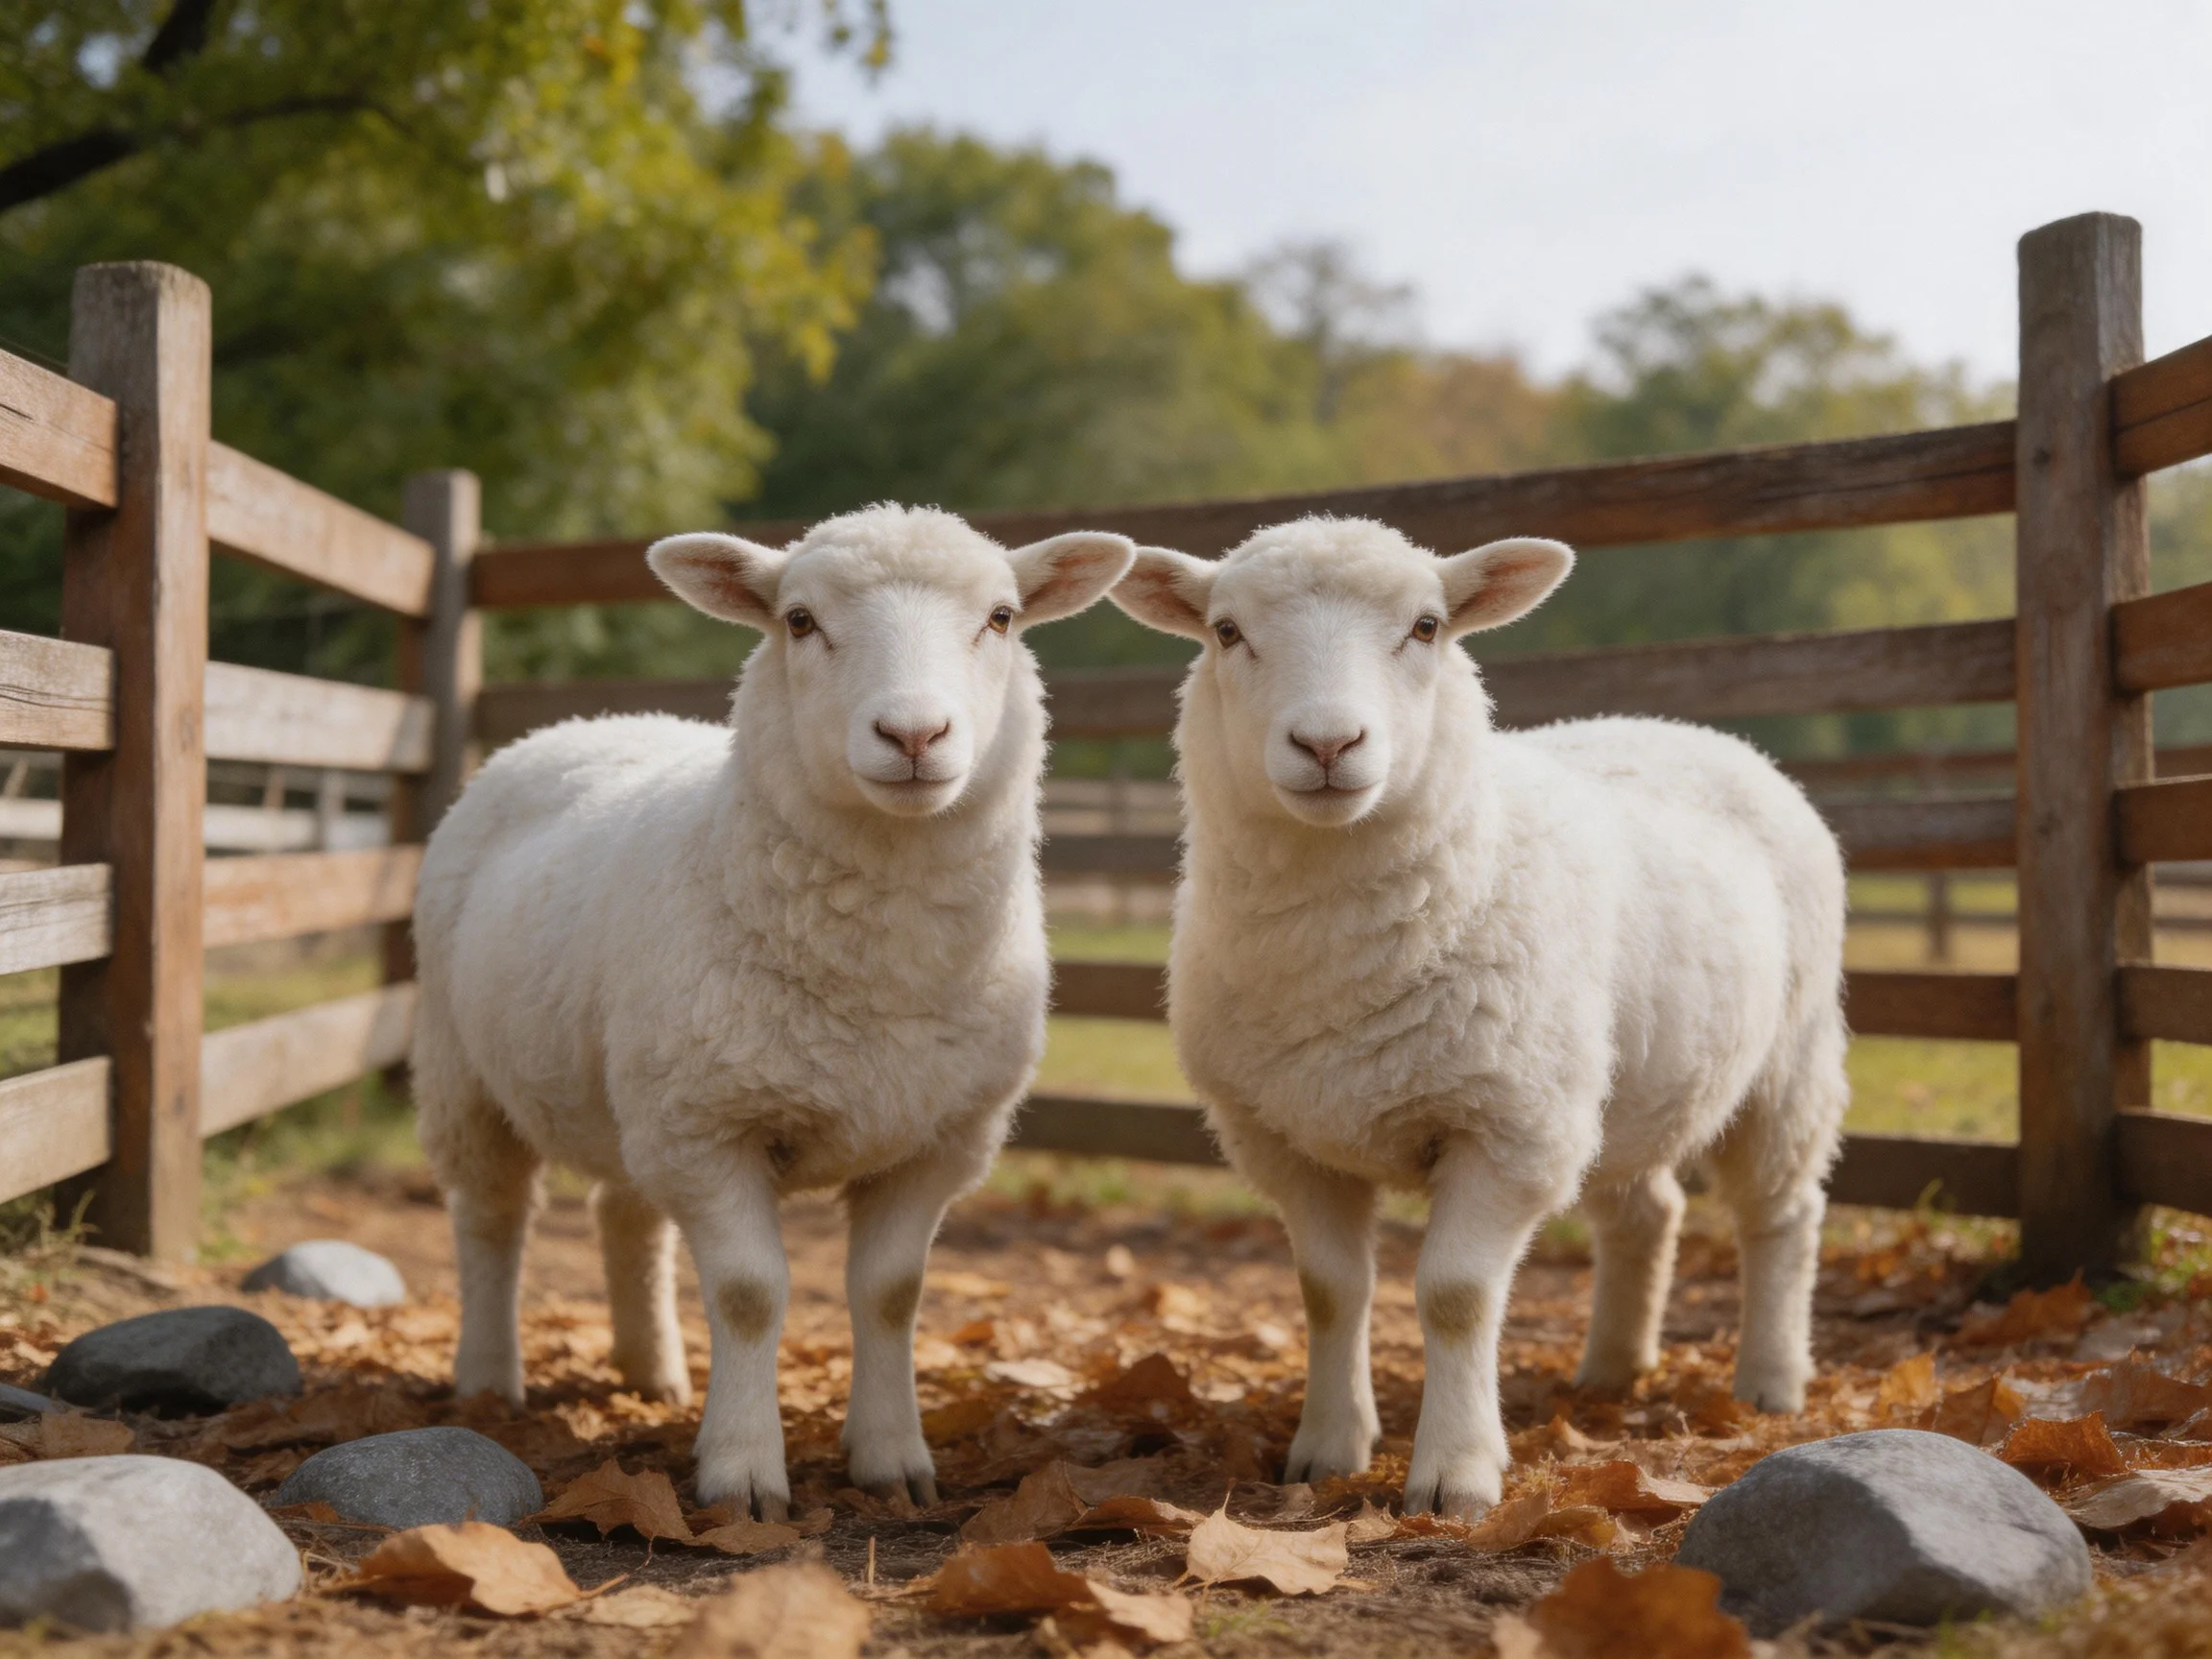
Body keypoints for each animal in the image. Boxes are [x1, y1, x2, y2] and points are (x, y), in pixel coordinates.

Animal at [410, 504, 1134, 1517]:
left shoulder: (940, 1139)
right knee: (490, 1219)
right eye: (799, 620)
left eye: (1001, 617)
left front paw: (893, 1459)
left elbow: (892, 1293)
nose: (914, 734)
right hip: (465, 1068)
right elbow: (751, 1294)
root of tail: (590, 720)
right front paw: (744, 1474)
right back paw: (487, 1379)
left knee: (624, 1216)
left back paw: (652, 1373)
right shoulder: (713, 1126)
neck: (881, 974)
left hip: (639, 1087)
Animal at [1109, 516, 1849, 1519]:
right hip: (1611, 1082)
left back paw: (1771, 1378)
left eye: (1426, 627)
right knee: (1646, 1210)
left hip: (1786, 1059)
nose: (1328, 743)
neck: (1342, 962)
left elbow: (1455, 1295)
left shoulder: (1508, 1126)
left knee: (1782, 1214)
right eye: (1226, 631)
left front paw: (1453, 1475)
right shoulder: (1286, 1139)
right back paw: (1612, 1370)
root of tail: (1692, 730)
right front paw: (1327, 1447)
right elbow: (1329, 1290)